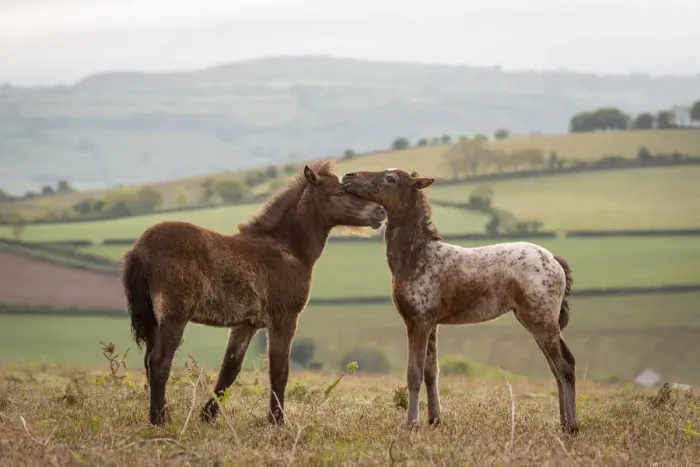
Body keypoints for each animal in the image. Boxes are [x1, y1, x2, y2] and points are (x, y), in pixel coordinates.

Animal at [120, 160, 387, 426]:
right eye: (340, 192)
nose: (380, 212)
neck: (287, 250)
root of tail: (141, 248)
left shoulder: (245, 325)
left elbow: (230, 370)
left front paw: (208, 416)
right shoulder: (284, 319)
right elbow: (279, 370)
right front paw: (277, 421)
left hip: (155, 317)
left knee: (149, 361)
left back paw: (162, 414)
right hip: (174, 315)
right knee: (159, 362)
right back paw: (159, 420)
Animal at [341, 168, 579, 434]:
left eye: (390, 179)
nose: (348, 176)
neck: (416, 257)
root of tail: (555, 261)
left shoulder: (417, 321)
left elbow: (414, 373)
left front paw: (412, 424)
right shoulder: (432, 323)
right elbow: (431, 371)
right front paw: (434, 420)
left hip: (541, 318)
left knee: (565, 365)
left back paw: (572, 426)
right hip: (535, 320)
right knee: (556, 366)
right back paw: (562, 424)